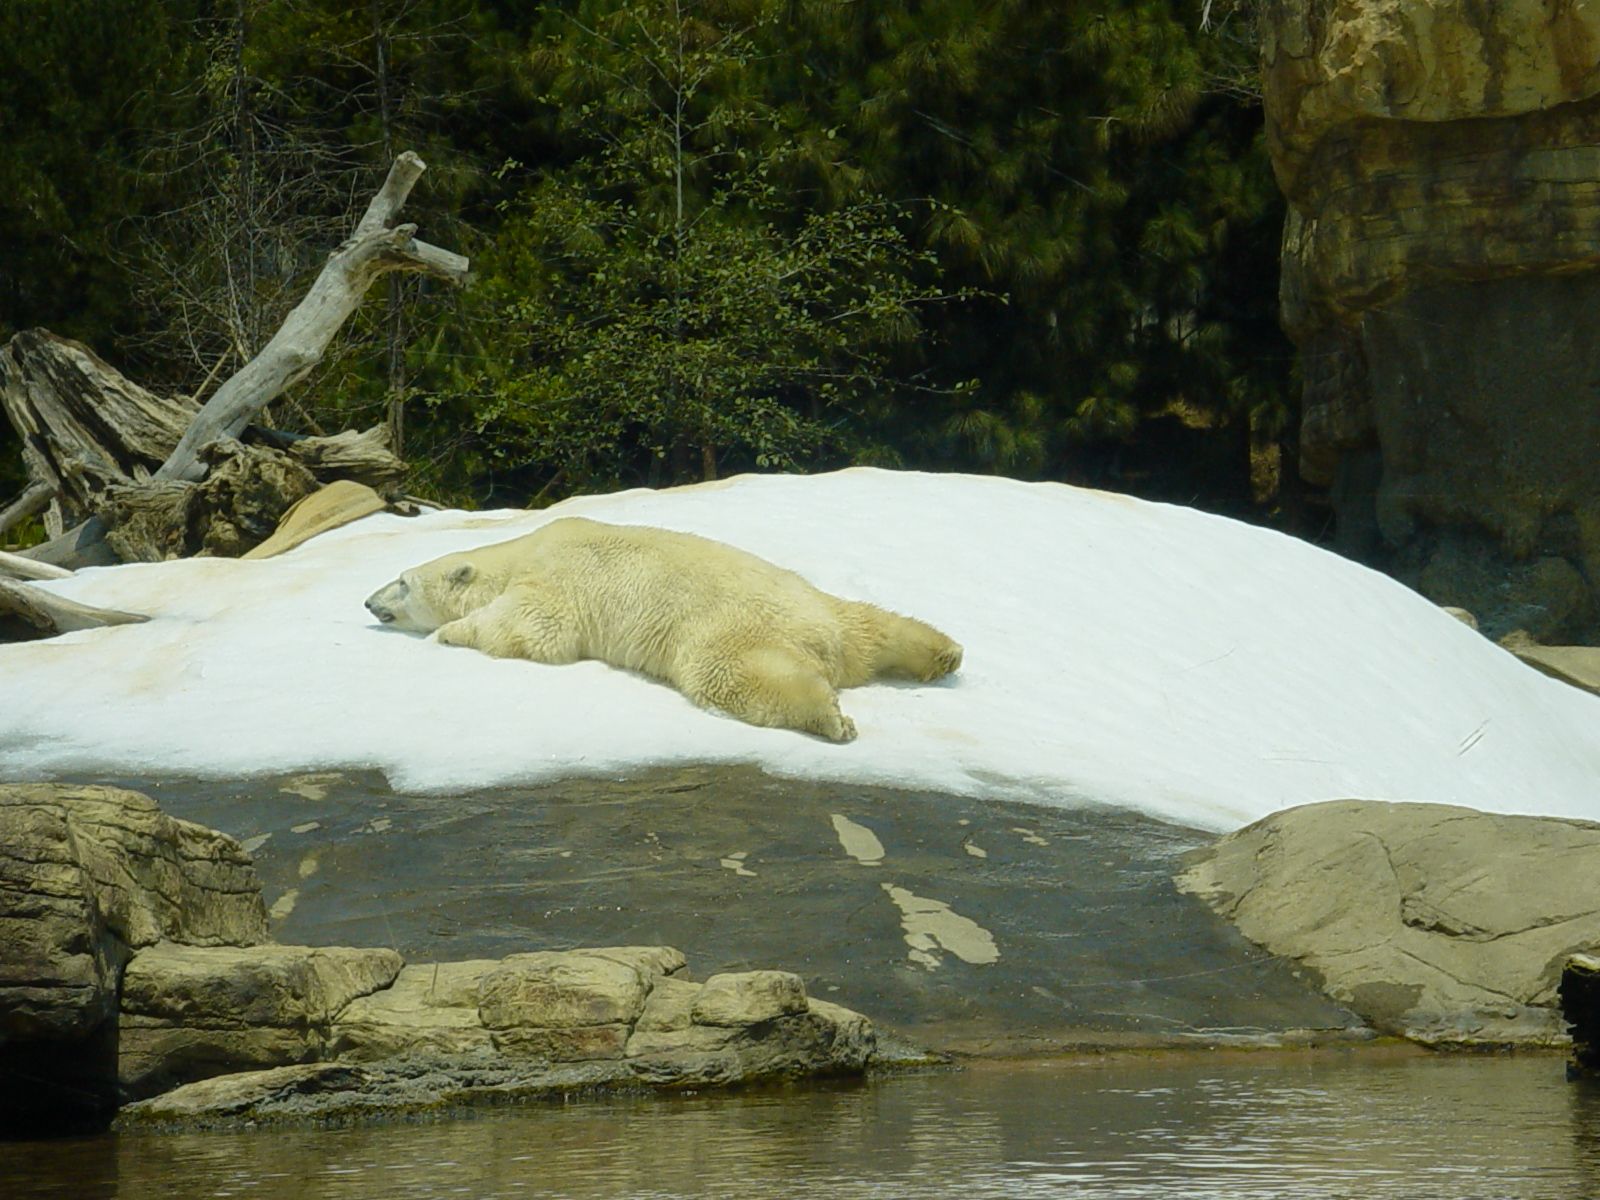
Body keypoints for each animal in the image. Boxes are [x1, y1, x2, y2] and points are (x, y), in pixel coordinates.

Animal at [366, 518, 960, 742]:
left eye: (401, 582)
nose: (368, 601)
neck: (519, 551)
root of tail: (821, 639)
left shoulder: (551, 580)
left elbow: (534, 629)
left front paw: (449, 633)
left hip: (725, 633)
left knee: (739, 677)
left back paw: (832, 718)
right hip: (826, 606)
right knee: (877, 624)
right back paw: (944, 654)